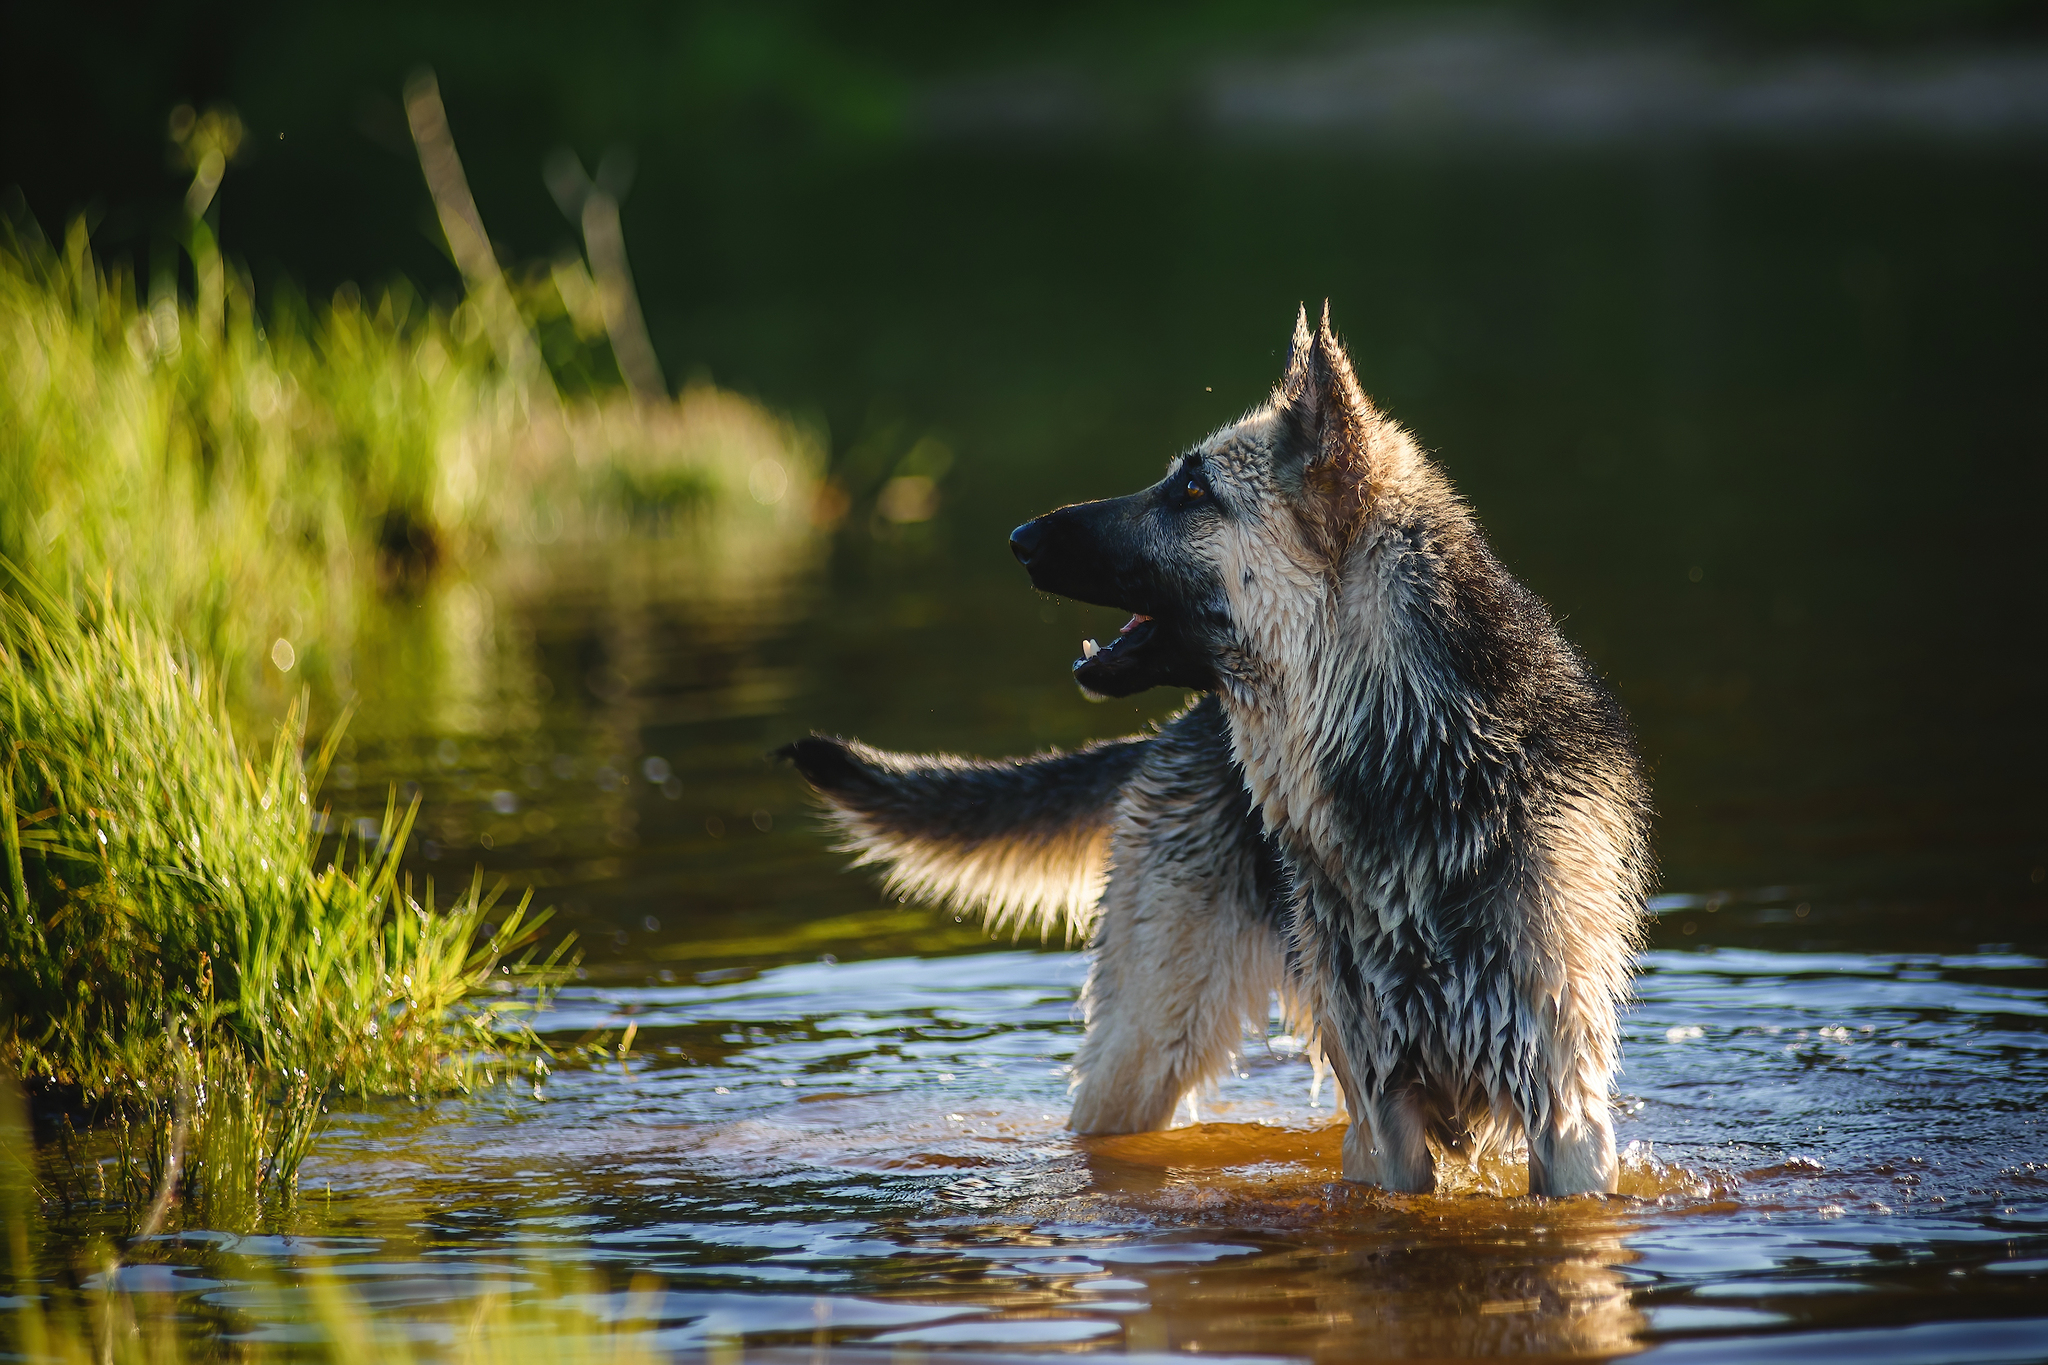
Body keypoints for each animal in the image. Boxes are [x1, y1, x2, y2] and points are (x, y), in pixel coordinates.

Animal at [774, 300, 1654, 1195]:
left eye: (1192, 491)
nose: (1019, 537)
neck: (1411, 750)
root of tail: (1183, 727)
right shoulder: (1382, 1112)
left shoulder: (1564, 1111)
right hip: (1143, 1045)